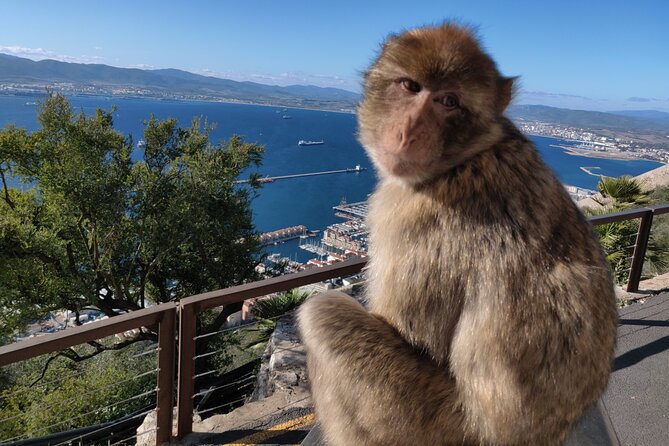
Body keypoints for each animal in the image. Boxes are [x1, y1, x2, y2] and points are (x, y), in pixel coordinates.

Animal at [297, 23, 618, 446]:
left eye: (449, 101)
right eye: (410, 86)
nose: (408, 130)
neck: (467, 157)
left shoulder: (411, 221)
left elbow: (416, 339)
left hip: (422, 422)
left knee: (322, 315)